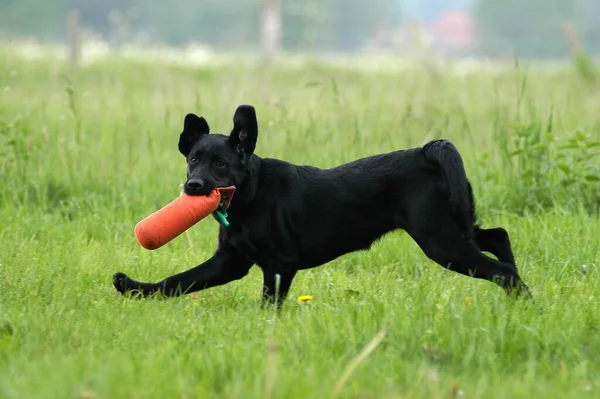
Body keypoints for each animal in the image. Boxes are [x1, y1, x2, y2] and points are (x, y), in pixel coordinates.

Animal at [115, 104, 532, 308]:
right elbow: (177, 281)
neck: (251, 196)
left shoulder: (278, 266)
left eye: (221, 164)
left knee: (501, 269)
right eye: (193, 160)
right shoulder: (230, 262)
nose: (193, 186)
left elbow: (268, 305)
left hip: (440, 239)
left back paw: (527, 304)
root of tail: (428, 151)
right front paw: (132, 287)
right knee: (499, 237)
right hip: (455, 225)